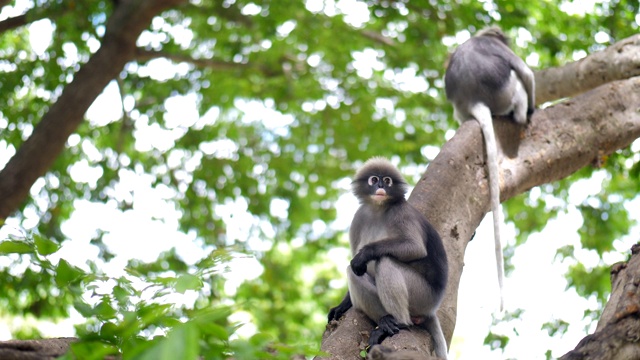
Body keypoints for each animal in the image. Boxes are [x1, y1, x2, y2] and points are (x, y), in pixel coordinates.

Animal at [328, 158, 448, 360]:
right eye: (374, 179)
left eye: (387, 180)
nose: (381, 186)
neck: (378, 209)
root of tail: (431, 309)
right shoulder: (359, 217)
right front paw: (342, 305)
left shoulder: (402, 213)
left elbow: (415, 247)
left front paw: (365, 254)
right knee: (353, 272)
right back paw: (386, 322)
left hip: (423, 296)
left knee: (385, 261)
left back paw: (399, 322)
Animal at [444, 26, 536, 310]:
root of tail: (474, 99)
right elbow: (526, 72)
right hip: (505, 93)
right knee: (518, 78)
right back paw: (522, 114)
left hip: (460, 111)